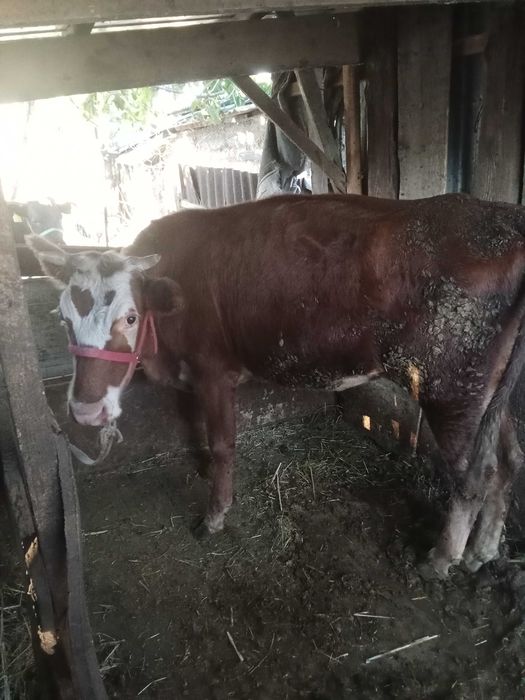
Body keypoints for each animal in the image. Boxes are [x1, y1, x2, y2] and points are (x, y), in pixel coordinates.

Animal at [28, 193, 525, 580]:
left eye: (130, 317)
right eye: (63, 318)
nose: (85, 411)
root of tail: (503, 218)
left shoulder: (213, 371)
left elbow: (223, 443)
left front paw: (214, 514)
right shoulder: (191, 378)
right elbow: (194, 429)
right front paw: (203, 469)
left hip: (450, 387)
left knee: (475, 475)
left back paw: (441, 558)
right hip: (486, 394)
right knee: (508, 460)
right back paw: (482, 551)